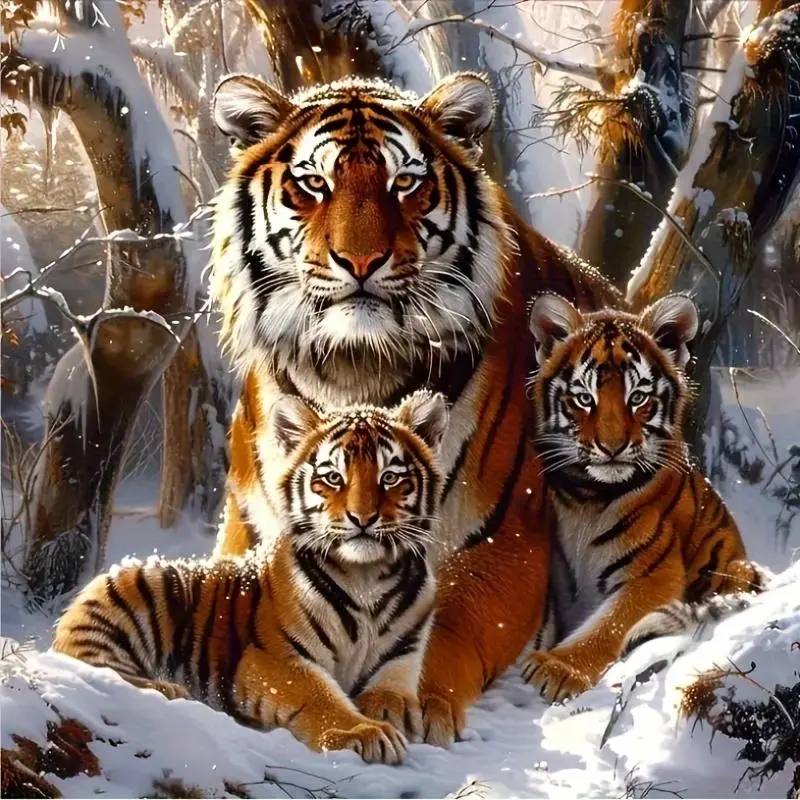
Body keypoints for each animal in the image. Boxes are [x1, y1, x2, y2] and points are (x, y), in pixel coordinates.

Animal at [51, 390, 448, 765]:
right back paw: (170, 690)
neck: (366, 577)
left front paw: (404, 719)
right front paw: (365, 732)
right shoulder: (276, 659)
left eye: (390, 477)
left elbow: (392, 695)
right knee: (94, 664)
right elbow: (321, 697)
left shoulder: (401, 658)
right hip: (134, 586)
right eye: (334, 478)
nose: (362, 519)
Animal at [208, 70, 623, 746]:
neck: (353, 368)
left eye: (405, 183)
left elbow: (436, 620)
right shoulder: (251, 537)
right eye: (314, 184)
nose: (361, 261)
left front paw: (400, 703)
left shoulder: (506, 542)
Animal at [521, 293, 765, 703]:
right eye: (584, 398)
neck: (588, 496)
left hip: (738, 570)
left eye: (638, 397)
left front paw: (556, 668)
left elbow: (609, 624)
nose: (612, 447)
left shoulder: (654, 575)